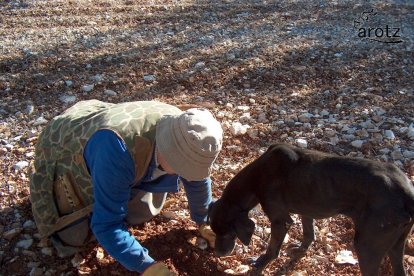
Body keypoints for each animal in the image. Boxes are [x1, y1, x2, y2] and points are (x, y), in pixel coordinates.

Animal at [210, 143, 414, 274]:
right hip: (396, 244)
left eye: (229, 234)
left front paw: (260, 263)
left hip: (367, 246)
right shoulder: (306, 211)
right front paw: (300, 249)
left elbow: (272, 248)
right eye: (214, 231)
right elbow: (309, 233)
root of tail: (406, 191)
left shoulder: (280, 220)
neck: (257, 176)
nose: (217, 254)